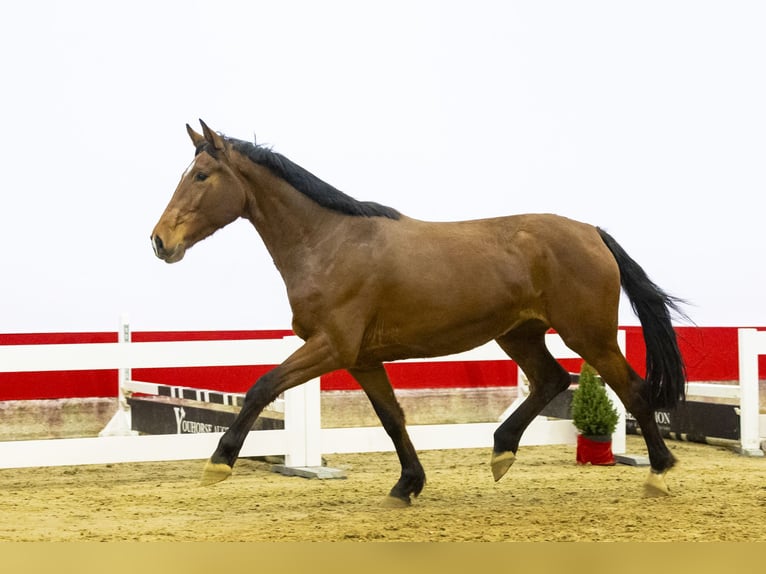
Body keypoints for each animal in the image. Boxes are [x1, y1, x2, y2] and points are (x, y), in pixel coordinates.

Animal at [152, 120, 688, 504]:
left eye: (201, 176)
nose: (159, 241)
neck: (329, 243)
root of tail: (591, 231)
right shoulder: (362, 358)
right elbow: (393, 418)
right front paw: (407, 484)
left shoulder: (331, 347)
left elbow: (261, 387)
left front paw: (218, 463)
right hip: (519, 333)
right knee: (552, 379)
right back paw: (501, 451)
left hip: (588, 334)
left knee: (633, 389)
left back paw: (659, 474)